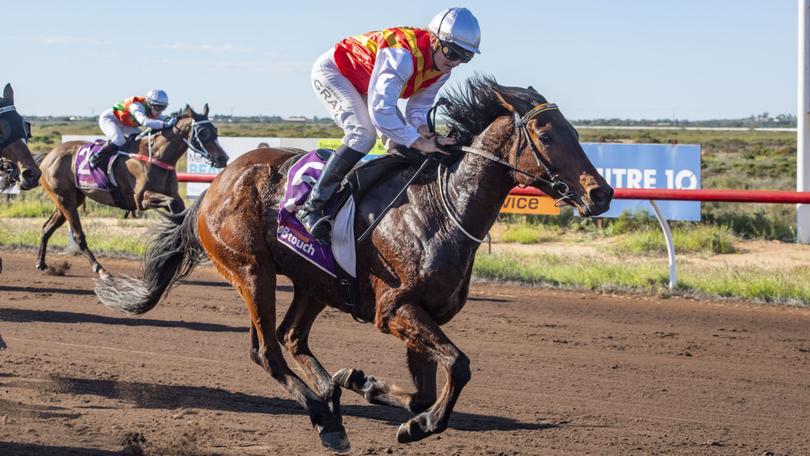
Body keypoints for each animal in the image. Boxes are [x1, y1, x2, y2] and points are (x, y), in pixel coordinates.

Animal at [36, 104, 227, 278]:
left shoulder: (174, 196)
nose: (223, 158)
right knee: (77, 236)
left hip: (72, 199)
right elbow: (172, 207)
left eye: (215, 130)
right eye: (202, 132)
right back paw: (101, 270)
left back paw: (42, 263)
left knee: (47, 227)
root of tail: (48, 156)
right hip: (64, 198)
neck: (155, 156)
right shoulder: (142, 199)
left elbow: (182, 211)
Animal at [93, 76, 612, 450]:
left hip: (314, 283)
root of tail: (216, 185)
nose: (601, 193)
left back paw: (331, 396)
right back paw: (323, 417)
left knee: (292, 337)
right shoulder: (395, 309)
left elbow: (424, 389)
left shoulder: (421, 313)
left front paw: (368, 386)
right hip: (251, 271)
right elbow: (459, 365)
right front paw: (421, 425)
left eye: (575, 132)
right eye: (546, 133)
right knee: (268, 349)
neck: (442, 208)